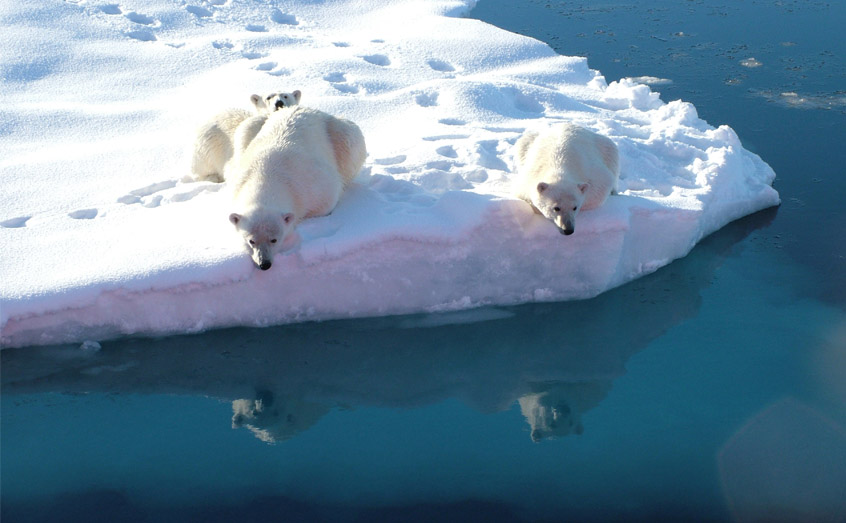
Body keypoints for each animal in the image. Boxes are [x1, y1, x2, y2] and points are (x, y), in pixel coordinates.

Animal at [225, 105, 368, 270]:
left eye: (274, 239)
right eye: (251, 241)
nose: (264, 264)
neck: (266, 175)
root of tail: (305, 108)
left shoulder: (315, 188)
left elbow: (327, 202)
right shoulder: (237, 182)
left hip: (339, 133)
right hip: (254, 127)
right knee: (244, 130)